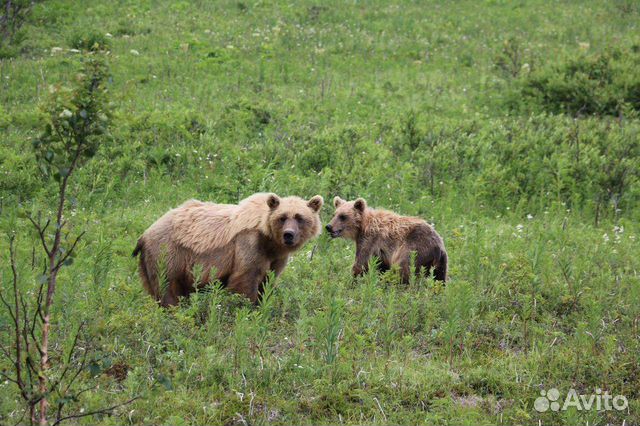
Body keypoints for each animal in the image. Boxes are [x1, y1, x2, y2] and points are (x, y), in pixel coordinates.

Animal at [134, 193, 324, 306]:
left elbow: (268, 281)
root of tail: (144, 234)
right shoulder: (249, 245)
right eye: (282, 217)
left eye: (300, 218)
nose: (288, 235)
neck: (269, 241)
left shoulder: (276, 258)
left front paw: (263, 303)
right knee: (167, 285)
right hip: (168, 252)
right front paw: (247, 308)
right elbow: (245, 279)